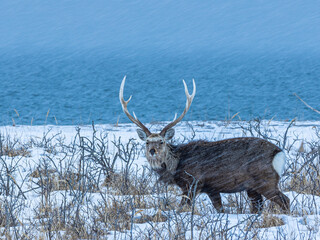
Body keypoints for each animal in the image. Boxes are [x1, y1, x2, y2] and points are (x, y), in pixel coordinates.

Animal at [119, 76, 290, 213]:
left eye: (162, 141)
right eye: (147, 142)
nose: (153, 151)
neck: (176, 165)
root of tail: (280, 153)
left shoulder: (193, 183)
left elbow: (182, 207)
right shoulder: (212, 188)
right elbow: (219, 208)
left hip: (266, 180)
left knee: (284, 200)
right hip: (252, 187)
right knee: (257, 206)